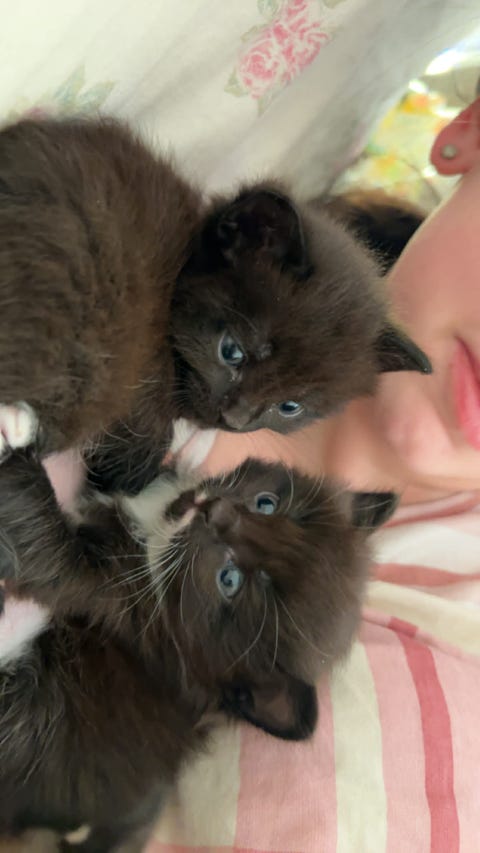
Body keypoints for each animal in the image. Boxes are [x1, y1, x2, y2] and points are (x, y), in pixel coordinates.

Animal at [0, 445, 397, 852]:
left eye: (229, 580)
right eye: (266, 504)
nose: (215, 511)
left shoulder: (116, 597)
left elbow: (46, 552)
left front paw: (21, 462)